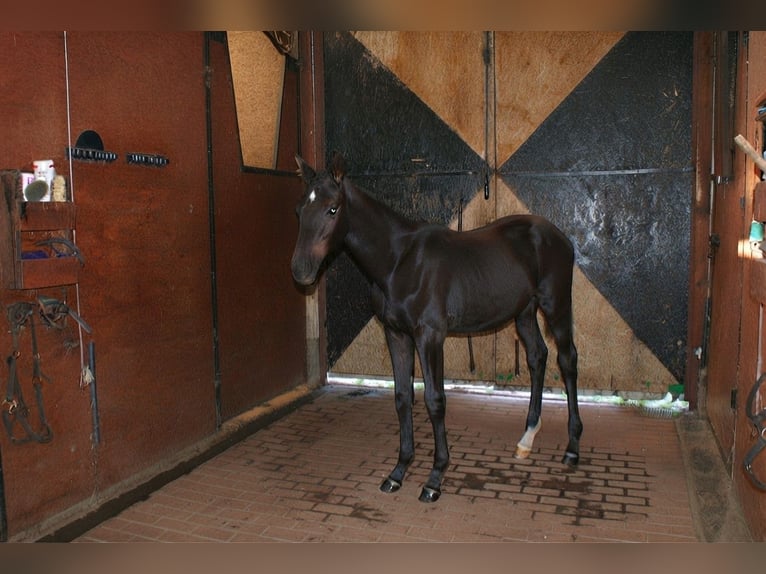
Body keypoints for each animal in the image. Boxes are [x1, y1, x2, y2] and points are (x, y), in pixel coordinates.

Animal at [291, 153, 582, 503]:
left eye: (333, 208)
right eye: (299, 210)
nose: (301, 271)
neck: (399, 262)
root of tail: (559, 237)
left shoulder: (429, 337)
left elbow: (434, 400)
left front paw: (434, 477)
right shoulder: (396, 334)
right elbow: (403, 397)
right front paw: (398, 471)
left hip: (556, 306)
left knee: (567, 360)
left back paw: (572, 448)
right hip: (524, 313)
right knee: (537, 357)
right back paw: (526, 439)